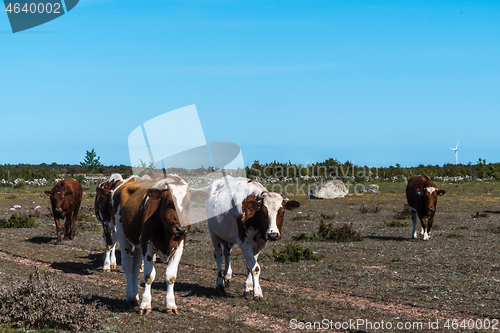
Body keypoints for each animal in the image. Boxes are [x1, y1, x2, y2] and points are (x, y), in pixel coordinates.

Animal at [112, 175, 209, 312]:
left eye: (188, 204)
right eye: (169, 204)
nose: (181, 229)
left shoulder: (179, 247)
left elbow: (171, 276)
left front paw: (171, 304)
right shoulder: (147, 247)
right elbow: (149, 276)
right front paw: (145, 304)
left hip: (138, 244)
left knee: (135, 267)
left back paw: (135, 295)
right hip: (122, 235)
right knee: (127, 266)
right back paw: (130, 297)